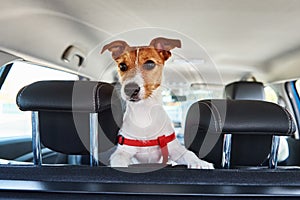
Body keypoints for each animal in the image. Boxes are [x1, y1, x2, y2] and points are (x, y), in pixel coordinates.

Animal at [102, 37, 214, 169]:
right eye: (122, 66)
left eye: (150, 64)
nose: (130, 89)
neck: (144, 113)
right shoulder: (123, 151)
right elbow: (118, 159)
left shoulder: (174, 148)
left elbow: (188, 153)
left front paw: (200, 163)